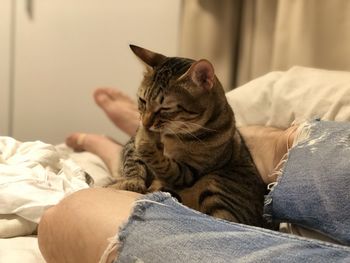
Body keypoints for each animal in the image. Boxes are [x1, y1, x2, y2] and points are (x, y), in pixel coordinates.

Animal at [109, 44, 266, 228]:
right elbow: (133, 161)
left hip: (216, 185)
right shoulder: (131, 145)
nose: (146, 124)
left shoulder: (188, 172)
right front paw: (132, 181)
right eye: (142, 100)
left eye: (165, 108)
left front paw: (146, 143)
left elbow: (162, 163)